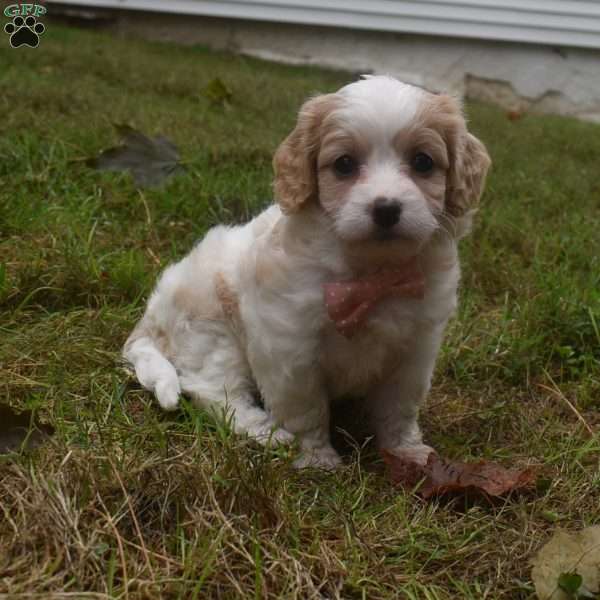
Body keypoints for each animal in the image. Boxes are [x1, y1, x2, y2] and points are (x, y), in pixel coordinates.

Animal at [124, 75, 490, 468]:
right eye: (344, 164)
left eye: (423, 162)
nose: (386, 209)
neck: (371, 274)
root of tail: (151, 316)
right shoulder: (289, 348)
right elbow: (306, 410)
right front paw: (317, 460)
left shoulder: (415, 350)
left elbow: (399, 408)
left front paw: (406, 452)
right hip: (213, 331)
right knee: (211, 389)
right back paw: (262, 431)